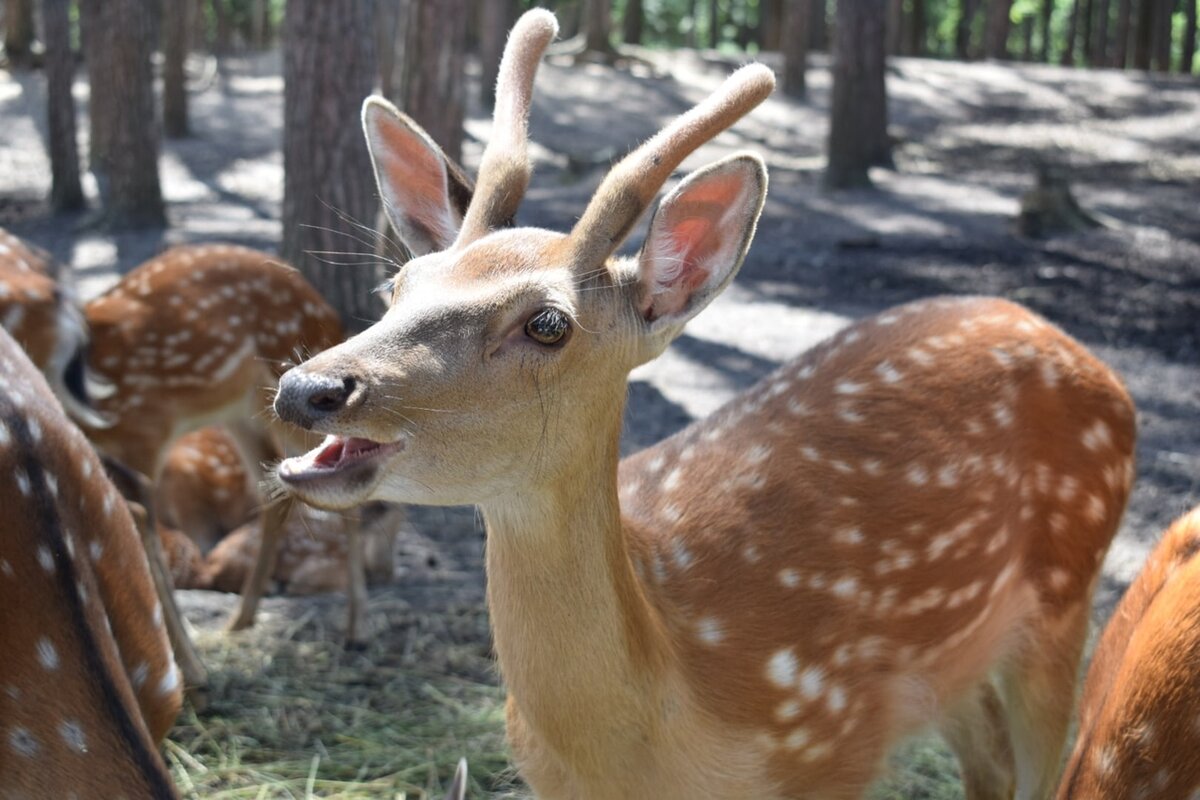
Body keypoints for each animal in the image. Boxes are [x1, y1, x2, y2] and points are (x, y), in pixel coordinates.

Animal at [270, 10, 1132, 800]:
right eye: (397, 285)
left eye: (548, 323)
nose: (307, 388)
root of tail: (1078, 351)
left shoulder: (835, 747)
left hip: (1067, 598)